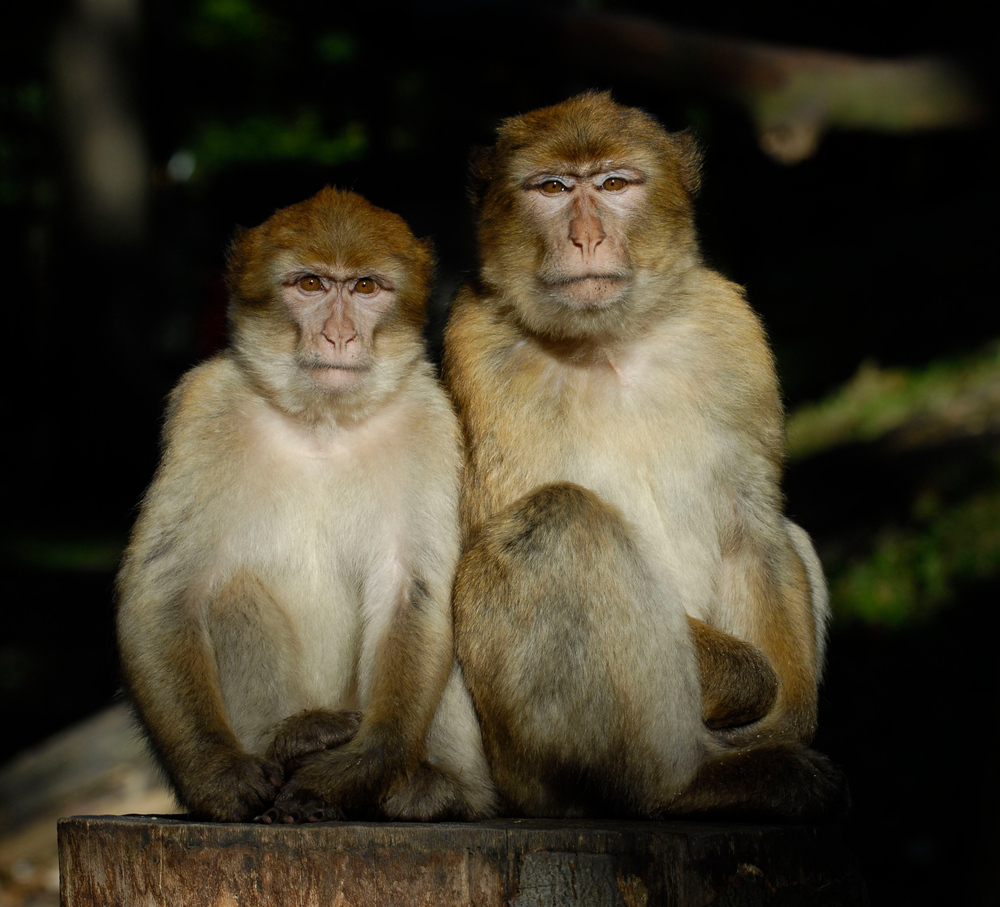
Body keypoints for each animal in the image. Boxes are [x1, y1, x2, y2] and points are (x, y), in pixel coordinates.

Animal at [116, 188, 496, 828]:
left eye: (365, 288)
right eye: (311, 285)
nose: (339, 336)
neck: (323, 422)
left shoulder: (430, 418)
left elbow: (412, 592)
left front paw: (350, 775)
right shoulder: (205, 408)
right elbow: (164, 590)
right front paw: (217, 775)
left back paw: (432, 791)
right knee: (227, 592)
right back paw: (294, 739)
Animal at [446, 94, 844, 824]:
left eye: (613, 184)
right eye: (552, 188)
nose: (585, 238)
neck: (612, 343)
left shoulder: (732, 332)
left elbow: (754, 528)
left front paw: (785, 725)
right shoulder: (480, 349)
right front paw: (752, 688)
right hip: (524, 768)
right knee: (558, 518)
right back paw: (681, 790)